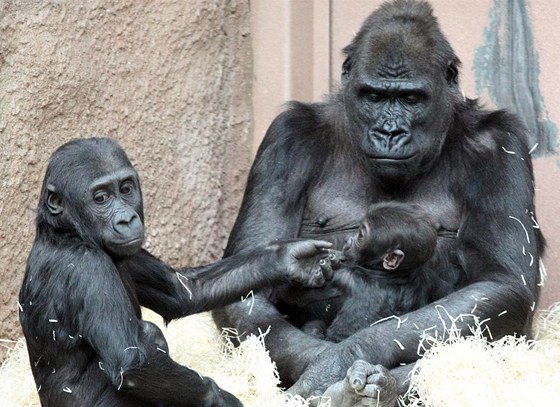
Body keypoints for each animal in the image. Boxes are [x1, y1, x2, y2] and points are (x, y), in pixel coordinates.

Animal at [18, 138, 332, 407]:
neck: (66, 231)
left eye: (126, 189)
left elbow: (183, 290)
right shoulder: (88, 268)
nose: (126, 219)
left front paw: (292, 258)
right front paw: (223, 400)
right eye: (100, 198)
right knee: (149, 336)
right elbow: (133, 362)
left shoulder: (131, 252)